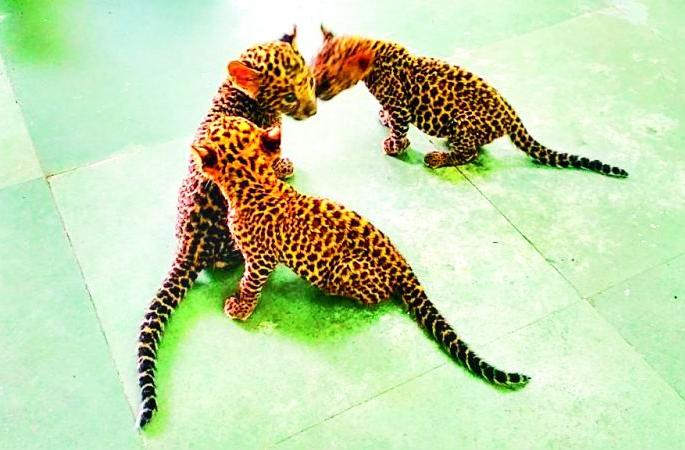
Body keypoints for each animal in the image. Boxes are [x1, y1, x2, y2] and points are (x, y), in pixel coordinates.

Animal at [136, 27, 317, 429]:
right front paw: (284, 168)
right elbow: (275, 159)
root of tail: (190, 247)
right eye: (289, 94)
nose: (313, 109)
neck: (235, 90)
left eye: (310, 81)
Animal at [190, 115, 531, 398]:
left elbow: (251, 282)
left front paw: (240, 306)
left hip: (345, 271)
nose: (209, 121)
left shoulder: (260, 257)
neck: (254, 181)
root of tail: (403, 266)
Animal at [311, 26, 628, 177]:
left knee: (471, 153)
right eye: (314, 66)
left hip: (464, 121)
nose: (316, 94)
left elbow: (400, 129)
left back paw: (438, 157)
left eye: (329, 77)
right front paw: (384, 119)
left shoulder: (401, 104)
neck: (374, 60)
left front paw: (395, 146)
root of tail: (512, 116)